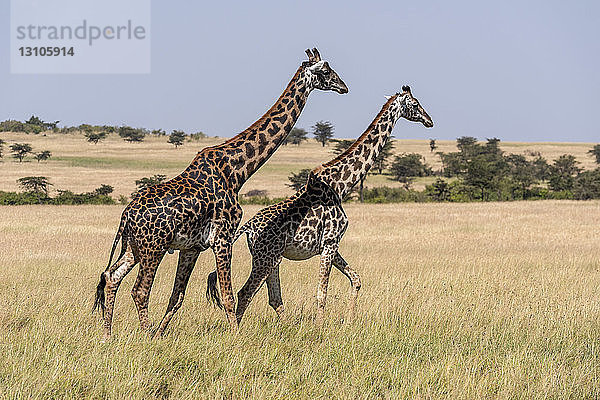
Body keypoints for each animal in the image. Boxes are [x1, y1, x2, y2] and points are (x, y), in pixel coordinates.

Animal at [93, 48, 346, 340]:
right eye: (325, 70)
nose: (344, 87)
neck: (237, 171)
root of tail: (126, 215)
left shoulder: (192, 247)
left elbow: (177, 297)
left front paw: (161, 334)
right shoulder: (223, 237)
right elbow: (228, 296)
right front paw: (236, 338)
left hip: (134, 247)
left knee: (111, 277)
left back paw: (107, 336)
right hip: (153, 247)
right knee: (140, 290)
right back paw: (144, 338)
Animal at [209, 85, 434, 324]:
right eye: (415, 103)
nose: (429, 120)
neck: (340, 186)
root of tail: (248, 228)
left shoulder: (331, 245)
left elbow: (356, 280)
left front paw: (349, 321)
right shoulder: (330, 242)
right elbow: (321, 292)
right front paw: (319, 326)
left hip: (274, 259)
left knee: (274, 298)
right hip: (265, 257)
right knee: (245, 293)